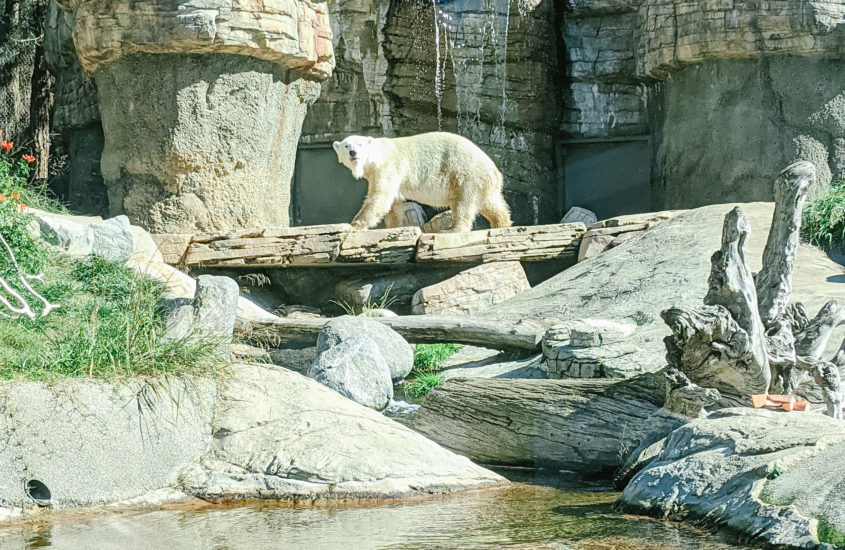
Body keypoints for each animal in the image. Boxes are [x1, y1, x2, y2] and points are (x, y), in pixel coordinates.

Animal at [332, 133, 512, 232]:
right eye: (347, 145)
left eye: (360, 144)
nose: (353, 152)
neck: (378, 155)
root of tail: (494, 170)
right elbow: (393, 205)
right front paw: (394, 227)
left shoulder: (388, 167)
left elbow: (379, 198)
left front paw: (353, 226)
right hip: (481, 181)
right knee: (490, 204)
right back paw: (501, 223)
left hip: (465, 173)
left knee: (463, 203)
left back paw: (453, 229)